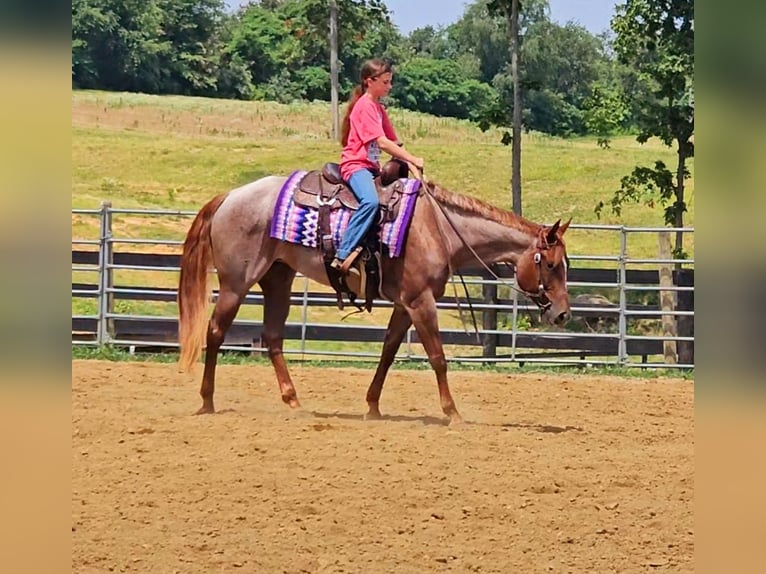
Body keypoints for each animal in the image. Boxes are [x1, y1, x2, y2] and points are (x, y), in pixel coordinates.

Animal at [180, 176, 572, 428]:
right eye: (552, 264)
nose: (563, 314)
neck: (439, 229)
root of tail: (229, 196)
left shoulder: (404, 304)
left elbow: (388, 351)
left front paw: (372, 406)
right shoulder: (420, 302)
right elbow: (438, 358)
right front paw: (452, 413)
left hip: (279, 278)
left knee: (273, 336)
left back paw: (293, 400)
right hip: (236, 283)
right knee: (215, 332)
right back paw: (207, 401)